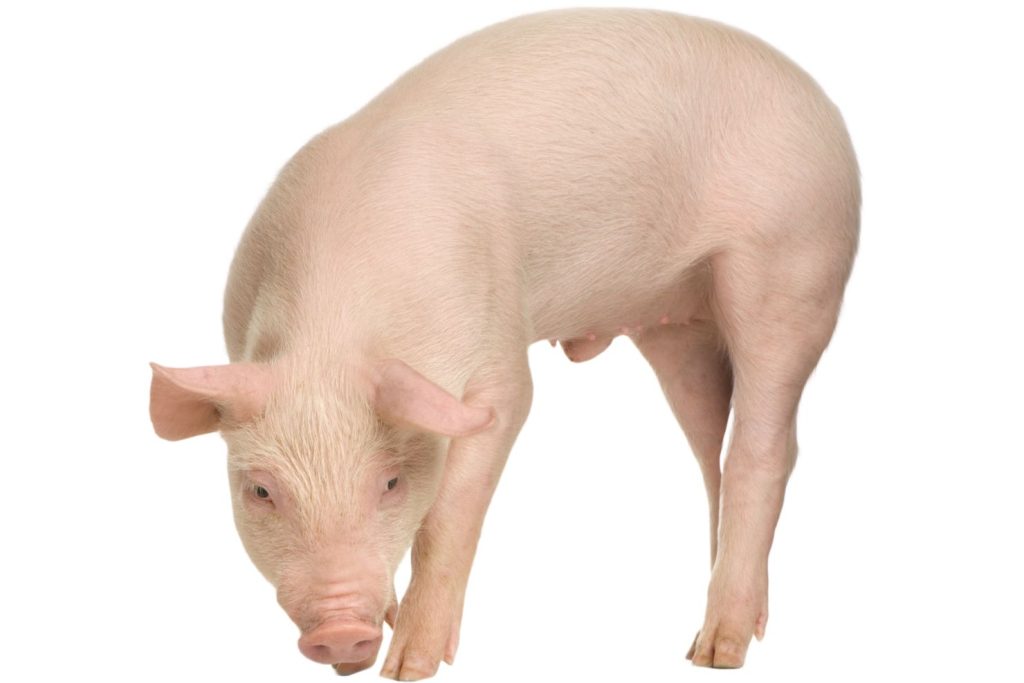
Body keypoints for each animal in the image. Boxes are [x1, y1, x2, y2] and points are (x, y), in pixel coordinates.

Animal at [149, 8, 859, 679]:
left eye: (391, 482)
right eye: (260, 492)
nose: (341, 631)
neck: (334, 333)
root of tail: (824, 107)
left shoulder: (497, 356)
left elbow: (452, 507)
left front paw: (409, 668)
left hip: (793, 266)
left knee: (763, 449)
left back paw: (719, 653)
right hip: (677, 326)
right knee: (712, 451)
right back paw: (705, 638)